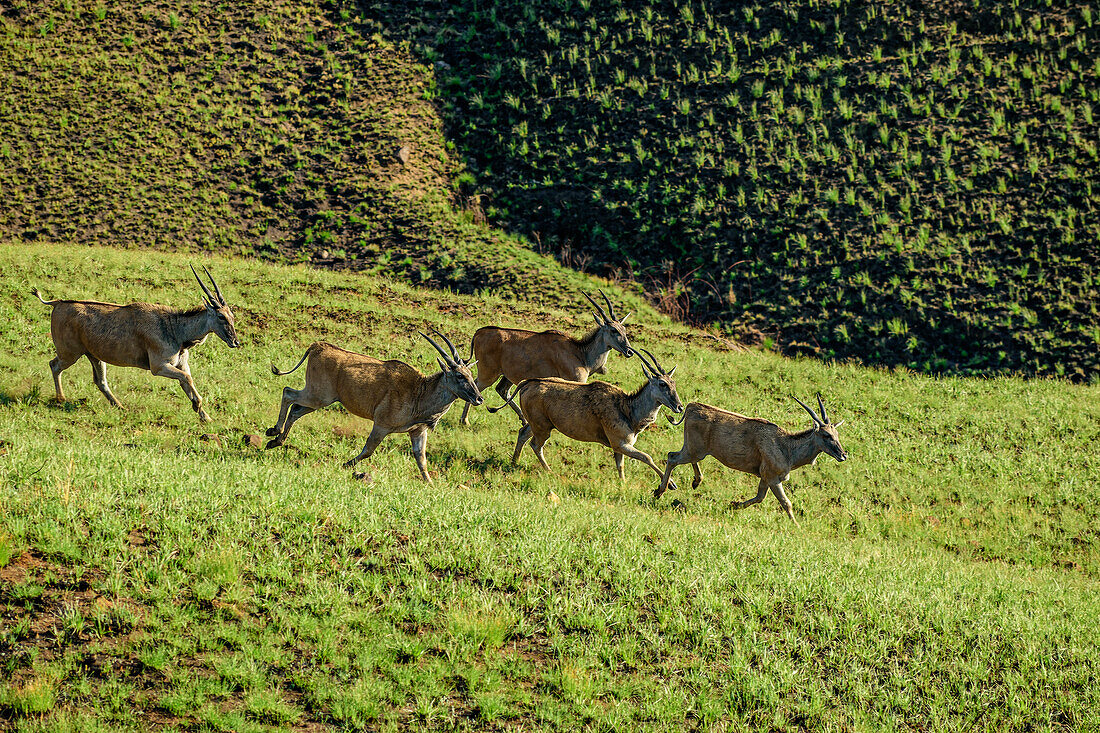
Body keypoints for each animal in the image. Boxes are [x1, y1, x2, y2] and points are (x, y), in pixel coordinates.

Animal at [32, 265, 240, 420]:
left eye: (231, 315)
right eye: (221, 316)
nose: (236, 342)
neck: (174, 328)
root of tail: (57, 303)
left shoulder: (181, 365)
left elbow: (187, 381)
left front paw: (205, 417)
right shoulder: (159, 367)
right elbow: (187, 379)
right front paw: (198, 407)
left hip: (94, 356)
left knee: (100, 381)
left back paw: (120, 406)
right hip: (70, 354)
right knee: (54, 365)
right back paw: (61, 399)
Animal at [264, 330, 484, 479]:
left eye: (470, 374)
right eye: (459, 375)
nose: (479, 398)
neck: (419, 392)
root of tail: (318, 346)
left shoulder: (418, 431)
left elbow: (422, 461)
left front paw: (430, 485)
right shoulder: (381, 425)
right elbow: (368, 450)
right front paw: (346, 464)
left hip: (319, 400)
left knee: (295, 409)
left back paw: (276, 441)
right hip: (318, 396)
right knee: (288, 393)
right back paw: (273, 431)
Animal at [457, 290, 638, 424]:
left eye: (624, 330)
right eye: (613, 330)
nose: (629, 352)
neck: (581, 353)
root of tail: (479, 332)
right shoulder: (575, 381)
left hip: (507, 375)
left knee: (501, 390)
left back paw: (523, 420)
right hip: (488, 373)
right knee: (477, 387)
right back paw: (464, 420)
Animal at [503, 347, 682, 484]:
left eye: (673, 383)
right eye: (662, 384)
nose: (679, 407)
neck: (627, 409)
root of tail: (527, 383)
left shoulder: (619, 446)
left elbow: (620, 466)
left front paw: (623, 484)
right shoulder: (620, 444)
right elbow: (646, 457)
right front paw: (670, 484)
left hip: (538, 424)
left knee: (523, 433)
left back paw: (514, 462)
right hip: (543, 428)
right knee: (535, 444)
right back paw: (549, 471)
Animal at [651, 391, 849, 521]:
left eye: (837, 434)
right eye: (826, 435)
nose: (843, 455)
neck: (787, 447)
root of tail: (691, 407)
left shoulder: (764, 477)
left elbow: (760, 498)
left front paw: (733, 505)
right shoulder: (772, 478)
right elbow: (786, 503)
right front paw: (796, 526)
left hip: (695, 450)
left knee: (682, 458)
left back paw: (695, 481)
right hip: (694, 450)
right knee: (672, 457)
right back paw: (659, 491)